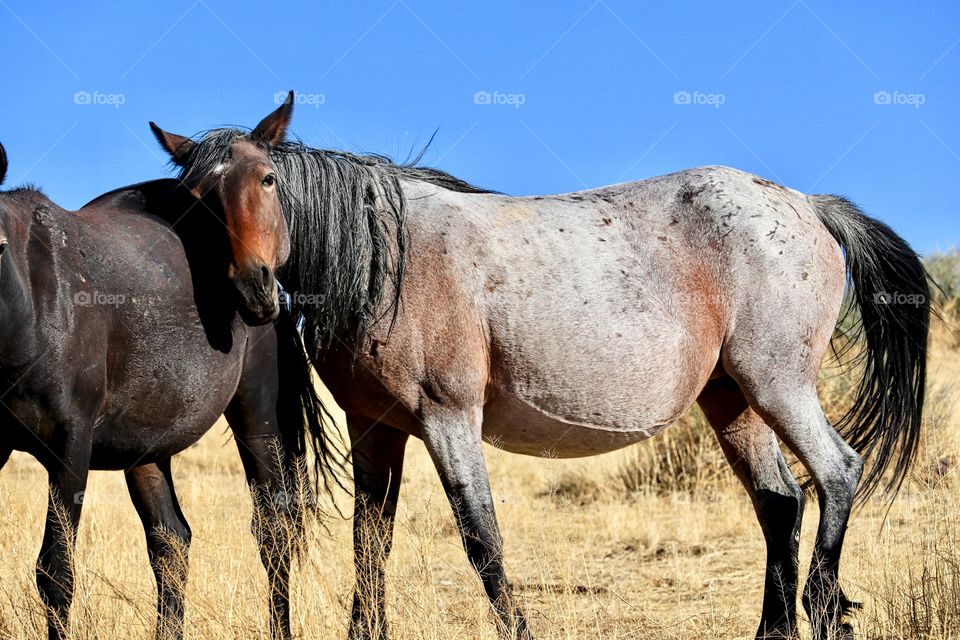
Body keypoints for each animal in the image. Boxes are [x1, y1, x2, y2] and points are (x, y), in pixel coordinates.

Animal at [0, 99, 338, 640]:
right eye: (197, 202)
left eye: (267, 179)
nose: (253, 287)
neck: (32, 296)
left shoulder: (69, 445)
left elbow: (56, 572)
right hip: (146, 447)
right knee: (171, 543)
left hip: (257, 419)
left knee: (273, 533)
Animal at [150, 97, 928, 640]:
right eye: (192, 202)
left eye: (268, 178)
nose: (252, 289)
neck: (385, 259)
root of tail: (807, 206)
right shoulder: (376, 429)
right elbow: (371, 545)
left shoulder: (448, 421)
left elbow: (482, 541)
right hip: (732, 399)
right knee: (780, 502)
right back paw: (773, 628)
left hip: (777, 385)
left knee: (836, 474)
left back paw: (822, 609)